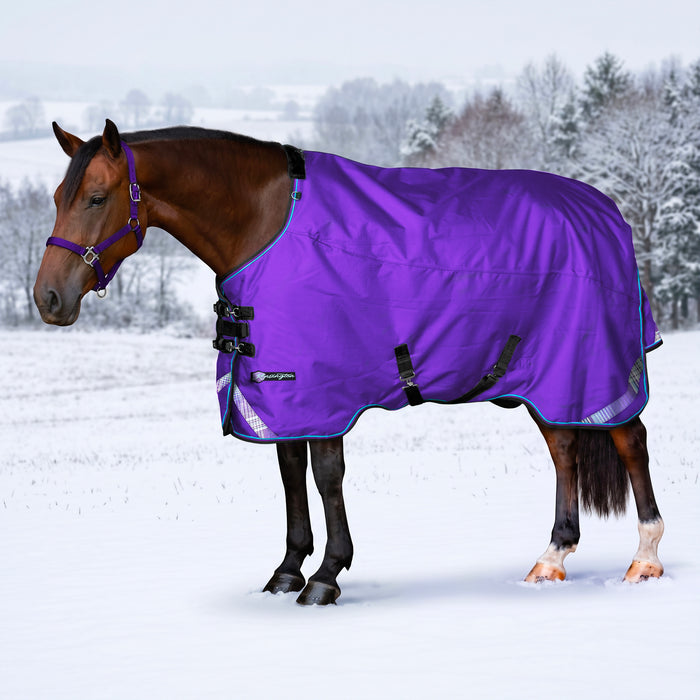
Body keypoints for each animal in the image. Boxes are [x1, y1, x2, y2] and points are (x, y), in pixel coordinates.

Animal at [34, 119, 665, 605]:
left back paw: (644, 559)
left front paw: (326, 577)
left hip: (596, 367)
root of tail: (606, 210)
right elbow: (290, 474)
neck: (265, 221)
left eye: (96, 198)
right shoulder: (278, 394)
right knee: (564, 447)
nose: (47, 299)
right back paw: (552, 558)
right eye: (59, 198)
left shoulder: (324, 388)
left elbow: (326, 476)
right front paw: (286, 572)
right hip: (546, 378)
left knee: (629, 440)